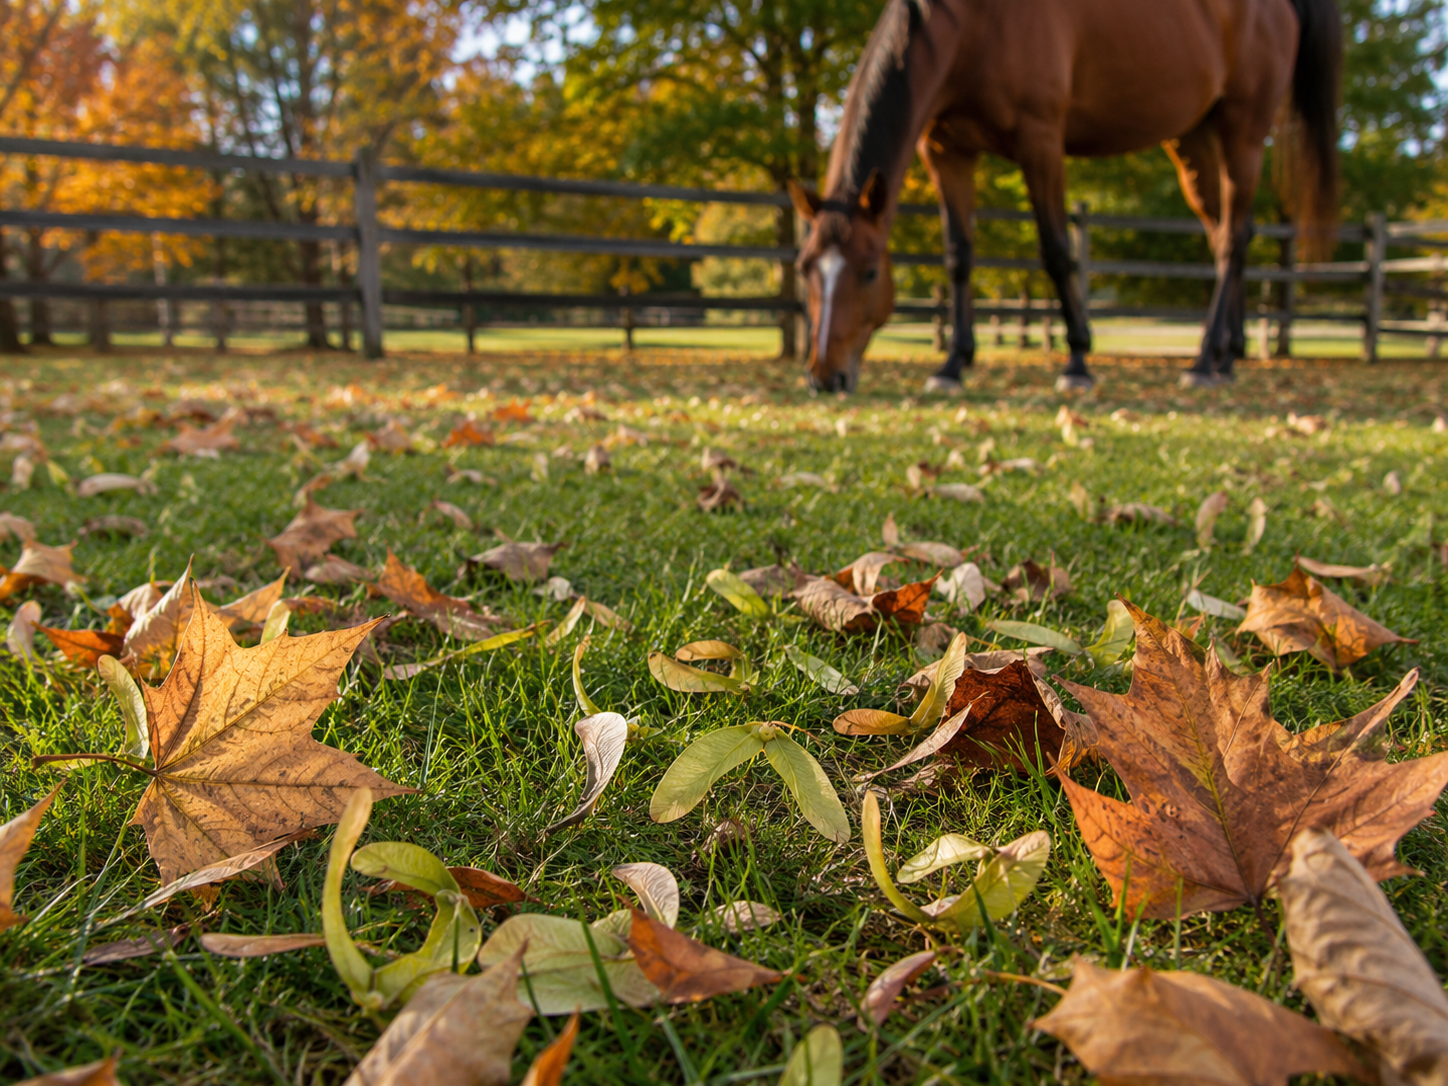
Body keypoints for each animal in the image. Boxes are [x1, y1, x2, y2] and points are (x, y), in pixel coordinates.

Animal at [788, 0, 1341, 394]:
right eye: (804, 269)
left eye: (870, 273)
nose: (824, 376)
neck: (972, 25)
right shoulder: (945, 148)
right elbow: (958, 256)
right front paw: (952, 364)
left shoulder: (1041, 138)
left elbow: (1055, 250)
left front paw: (1078, 360)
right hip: (1194, 135)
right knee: (1229, 230)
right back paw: (1228, 355)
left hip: (1244, 127)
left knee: (1232, 238)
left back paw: (1204, 361)